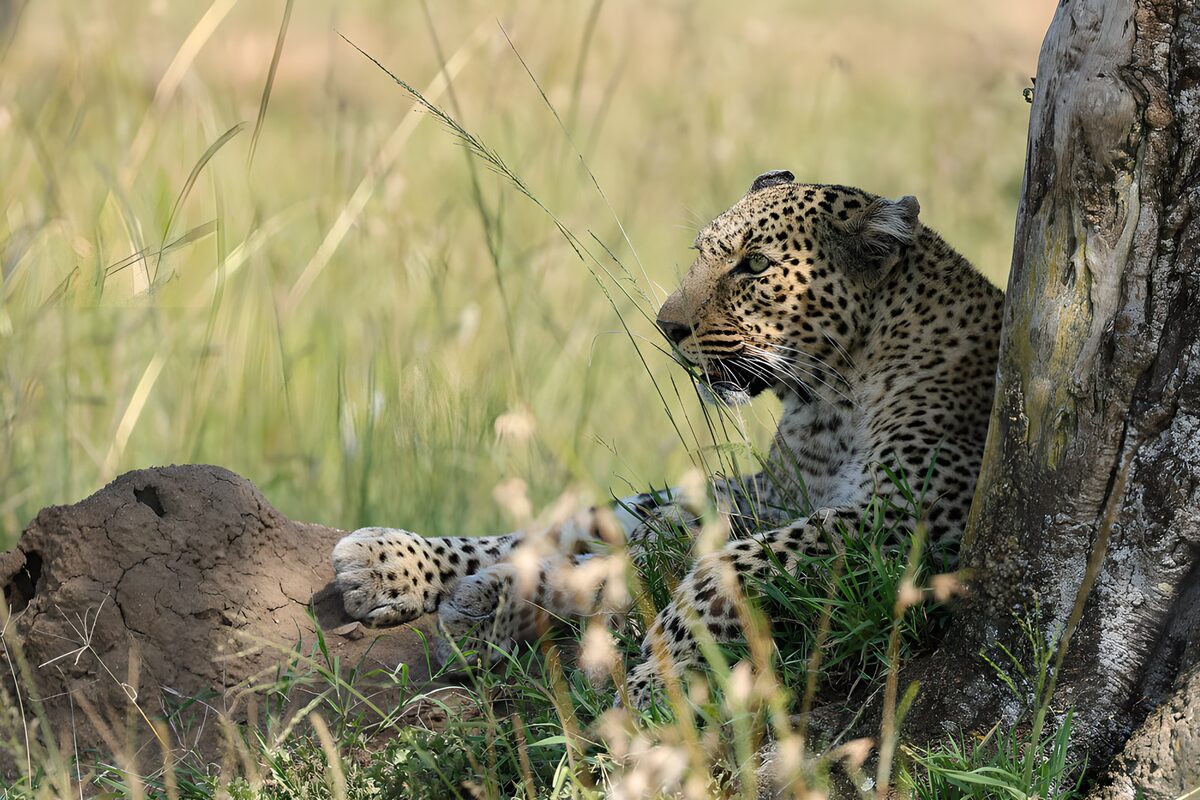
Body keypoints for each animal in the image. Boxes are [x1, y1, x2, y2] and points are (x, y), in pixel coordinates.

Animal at [331, 169, 1003, 709]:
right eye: (700, 253)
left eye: (755, 266)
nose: (666, 326)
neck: (829, 400)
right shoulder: (776, 494)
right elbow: (598, 520)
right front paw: (400, 561)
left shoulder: (912, 515)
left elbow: (722, 566)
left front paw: (658, 678)